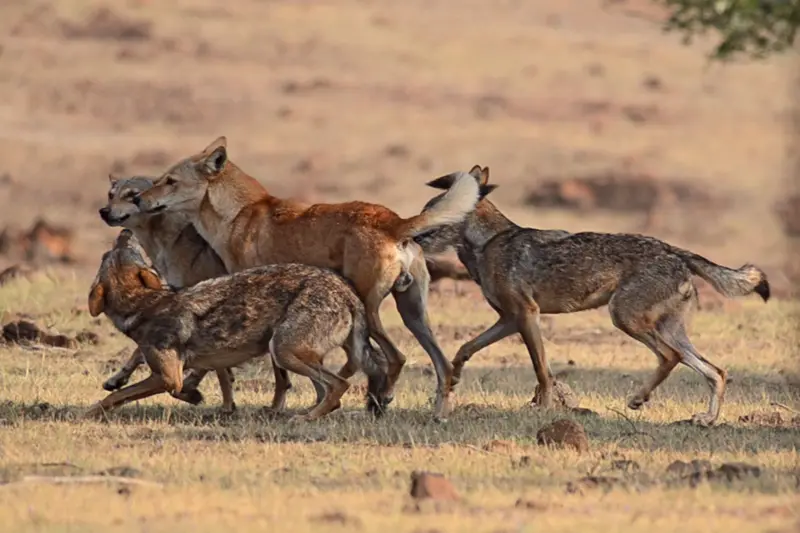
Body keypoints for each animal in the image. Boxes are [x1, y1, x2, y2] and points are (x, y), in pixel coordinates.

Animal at [84, 229, 390, 420]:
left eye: (110, 253)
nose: (125, 231)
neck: (141, 305)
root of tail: (347, 291)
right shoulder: (204, 362)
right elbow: (219, 384)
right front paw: (212, 403)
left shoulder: (169, 377)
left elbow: (119, 396)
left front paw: (90, 412)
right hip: (293, 353)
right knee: (328, 392)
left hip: (283, 351)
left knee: (338, 386)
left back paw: (304, 418)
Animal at [131, 137, 488, 420]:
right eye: (161, 179)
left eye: (170, 181)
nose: (137, 199)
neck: (239, 214)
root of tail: (395, 222)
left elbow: (278, 375)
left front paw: (275, 407)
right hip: (413, 314)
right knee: (442, 367)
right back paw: (436, 414)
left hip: (371, 312)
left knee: (392, 358)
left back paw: (377, 401)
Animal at [412, 164, 768, 426]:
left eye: (434, 213)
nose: (411, 234)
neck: (486, 244)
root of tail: (674, 250)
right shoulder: (509, 320)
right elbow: (464, 349)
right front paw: (451, 383)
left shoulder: (526, 315)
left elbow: (542, 371)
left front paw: (542, 410)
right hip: (665, 329)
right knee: (715, 372)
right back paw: (706, 419)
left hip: (623, 318)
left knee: (671, 358)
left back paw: (639, 399)